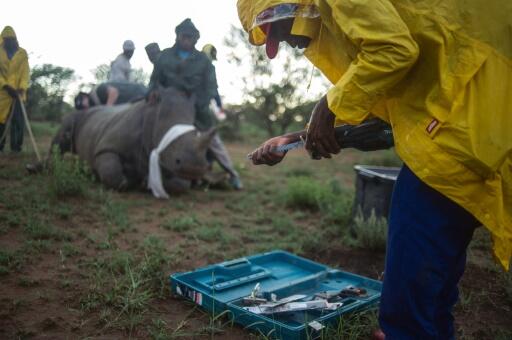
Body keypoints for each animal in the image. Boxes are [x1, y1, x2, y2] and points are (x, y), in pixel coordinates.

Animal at [47, 86, 214, 195]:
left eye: (195, 131)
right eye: (164, 135)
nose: (193, 168)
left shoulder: (169, 161)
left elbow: (180, 184)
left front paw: (146, 182)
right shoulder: (107, 147)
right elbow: (113, 174)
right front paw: (132, 180)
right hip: (76, 116)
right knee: (61, 140)